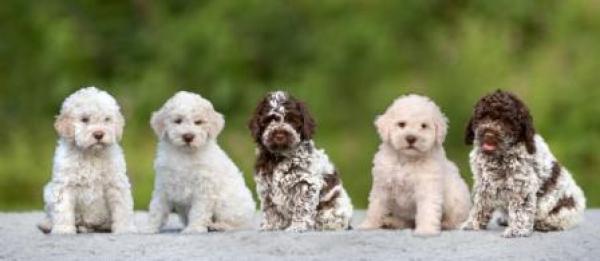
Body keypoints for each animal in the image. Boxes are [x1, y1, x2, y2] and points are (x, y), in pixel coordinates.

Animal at [38, 86, 137, 233]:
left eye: (107, 119)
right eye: (84, 119)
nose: (99, 134)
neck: (91, 154)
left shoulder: (116, 183)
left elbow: (122, 208)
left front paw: (125, 228)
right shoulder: (65, 185)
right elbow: (63, 209)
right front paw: (63, 230)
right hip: (48, 191)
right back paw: (48, 225)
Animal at [148, 91, 258, 232]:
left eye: (198, 122)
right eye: (178, 121)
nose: (188, 136)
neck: (184, 155)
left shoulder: (204, 188)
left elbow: (198, 211)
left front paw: (193, 228)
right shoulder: (163, 185)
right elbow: (156, 209)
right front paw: (149, 228)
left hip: (227, 205)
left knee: (238, 225)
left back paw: (218, 226)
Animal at [247, 90, 352, 231]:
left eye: (291, 120)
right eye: (269, 120)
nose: (279, 135)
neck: (280, 156)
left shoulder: (305, 183)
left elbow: (301, 207)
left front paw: (298, 226)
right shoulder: (266, 186)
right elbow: (271, 208)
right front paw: (271, 225)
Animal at [360, 94, 474, 236]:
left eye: (424, 126)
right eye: (401, 124)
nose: (411, 138)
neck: (407, 159)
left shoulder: (428, 186)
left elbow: (428, 209)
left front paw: (426, 230)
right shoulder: (382, 185)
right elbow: (376, 207)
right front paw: (368, 225)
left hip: (457, 198)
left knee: (457, 218)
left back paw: (447, 224)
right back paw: (392, 222)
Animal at [464, 90, 584, 237]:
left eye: (507, 122)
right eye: (482, 117)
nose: (489, 134)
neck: (498, 155)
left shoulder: (521, 185)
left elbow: (520, 210)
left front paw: (516, 230)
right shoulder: (484, 183)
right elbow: (480, 204)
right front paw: (473, 223)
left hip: (564, 208)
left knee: (561, 219)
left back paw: (545, 224)